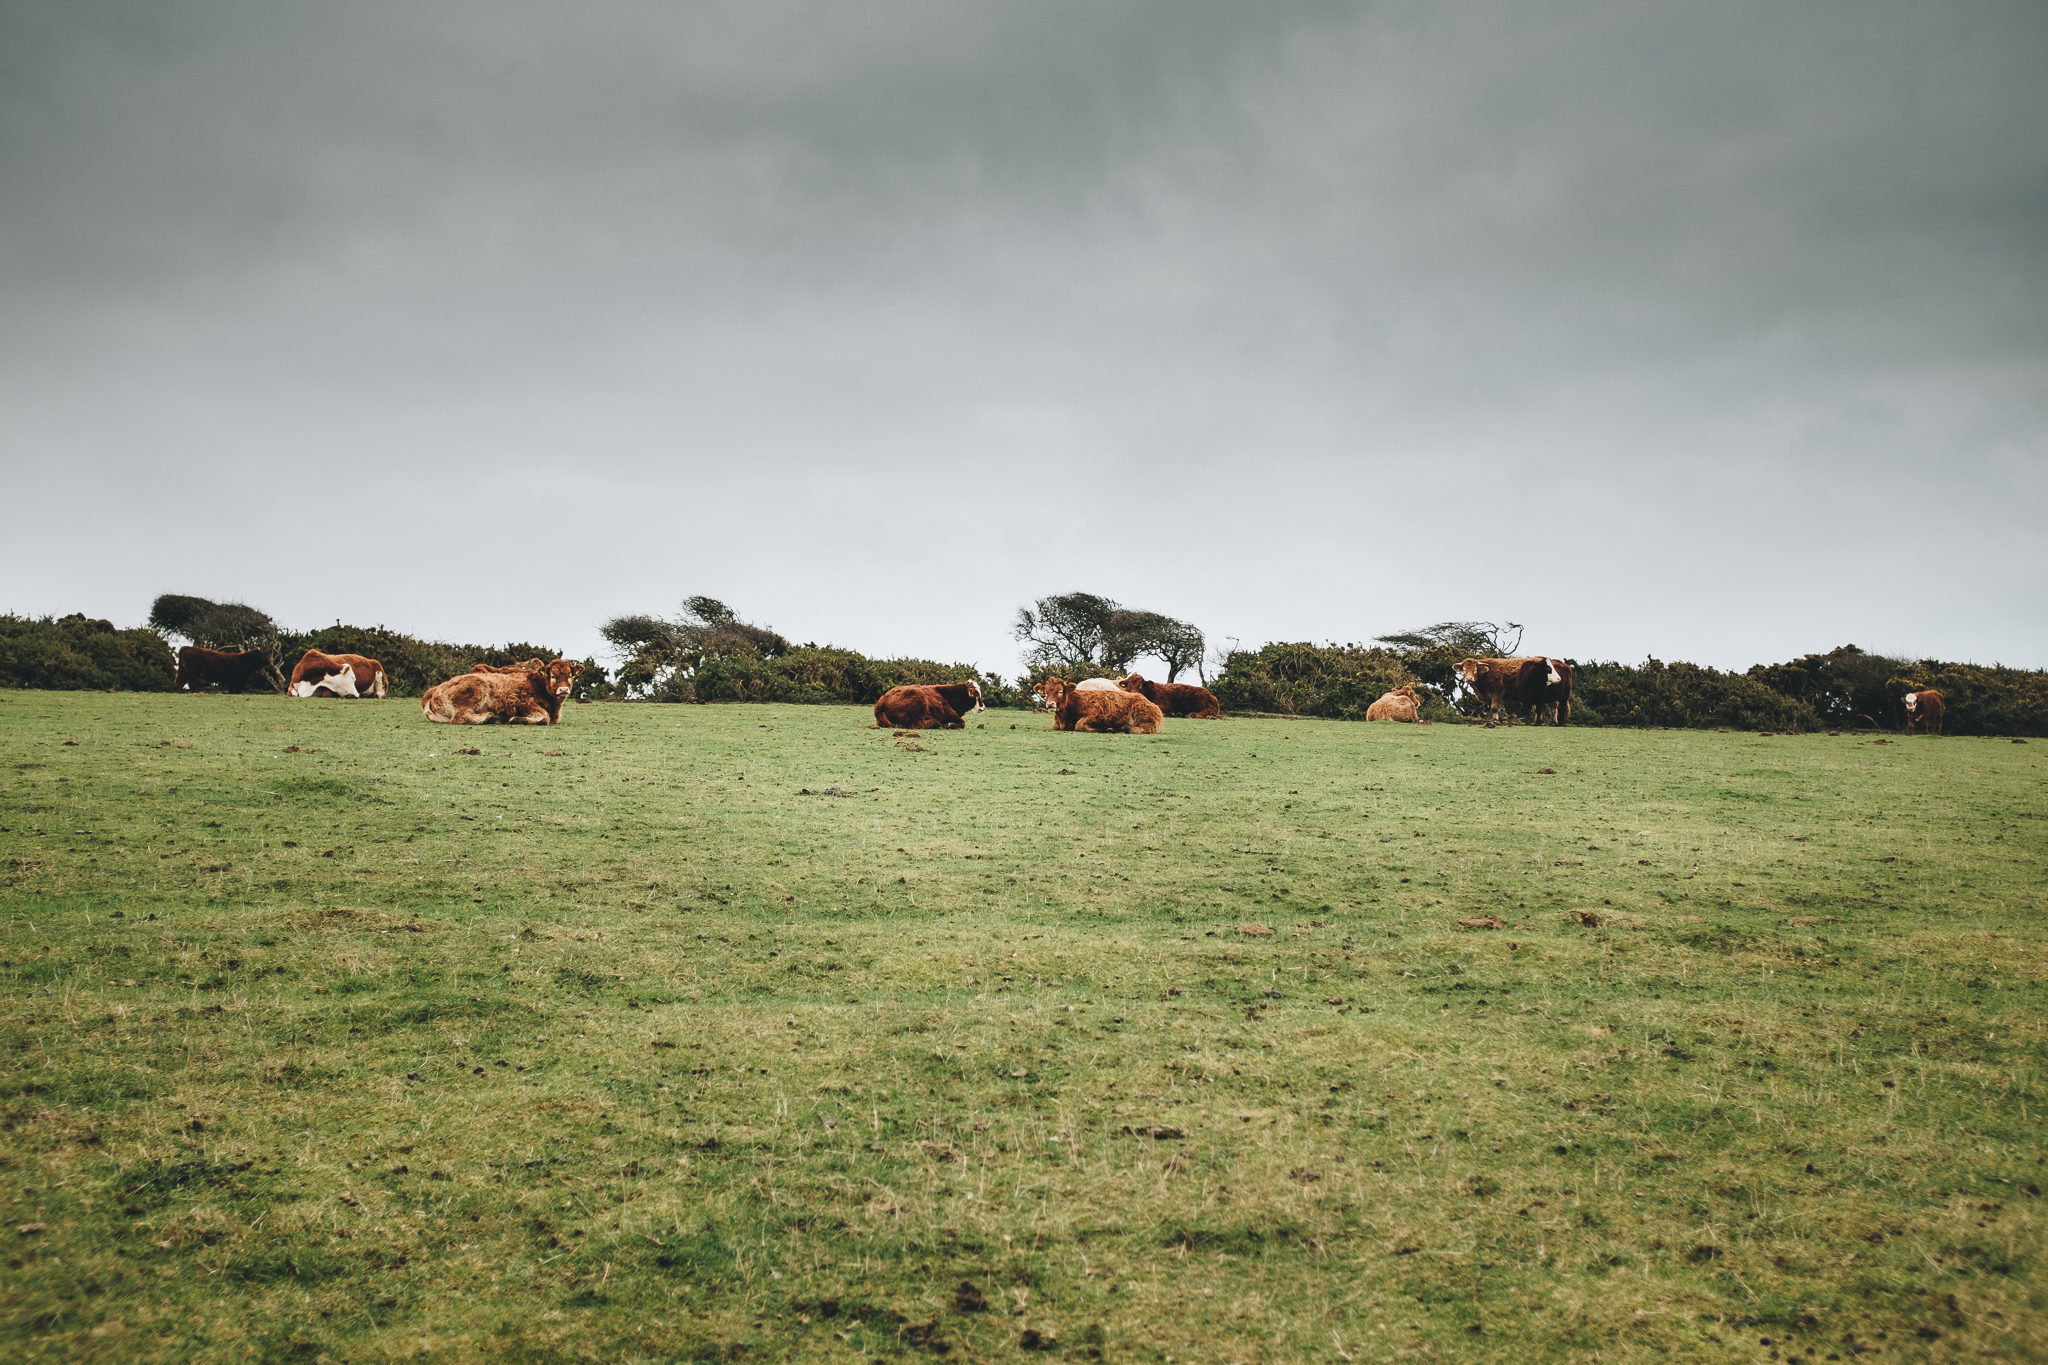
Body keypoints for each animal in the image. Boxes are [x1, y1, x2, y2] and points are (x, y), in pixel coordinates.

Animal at [415, 663, 577, 724]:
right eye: (553, 676)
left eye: (570, 675)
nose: (563, 690)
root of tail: (433, 690)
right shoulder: (521, 703)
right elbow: (545, 717)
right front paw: (516, 719)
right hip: (477, 687)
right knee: (460, 717)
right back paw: (490, 717)